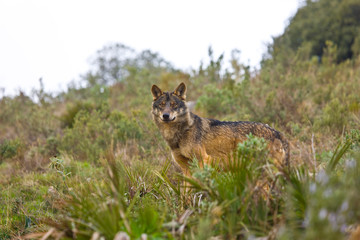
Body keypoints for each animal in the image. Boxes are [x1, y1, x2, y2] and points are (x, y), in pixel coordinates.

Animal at [151, 83, 290, 175]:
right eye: (162, 105)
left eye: (174, 105)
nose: (166, 116)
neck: (180, 134)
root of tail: (278, 133)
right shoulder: (186, 169)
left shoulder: (203, 161)